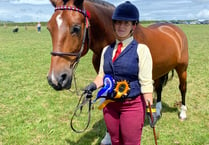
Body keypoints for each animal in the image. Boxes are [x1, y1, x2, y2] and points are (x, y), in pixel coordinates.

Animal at [46, 0, 189, 120]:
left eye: (76, 28)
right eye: (49, 28)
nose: (55, 79)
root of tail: (173, 28)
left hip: (182, 68)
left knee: (182, 87)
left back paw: (182, 113)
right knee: (159, 88)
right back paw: (157, 111)